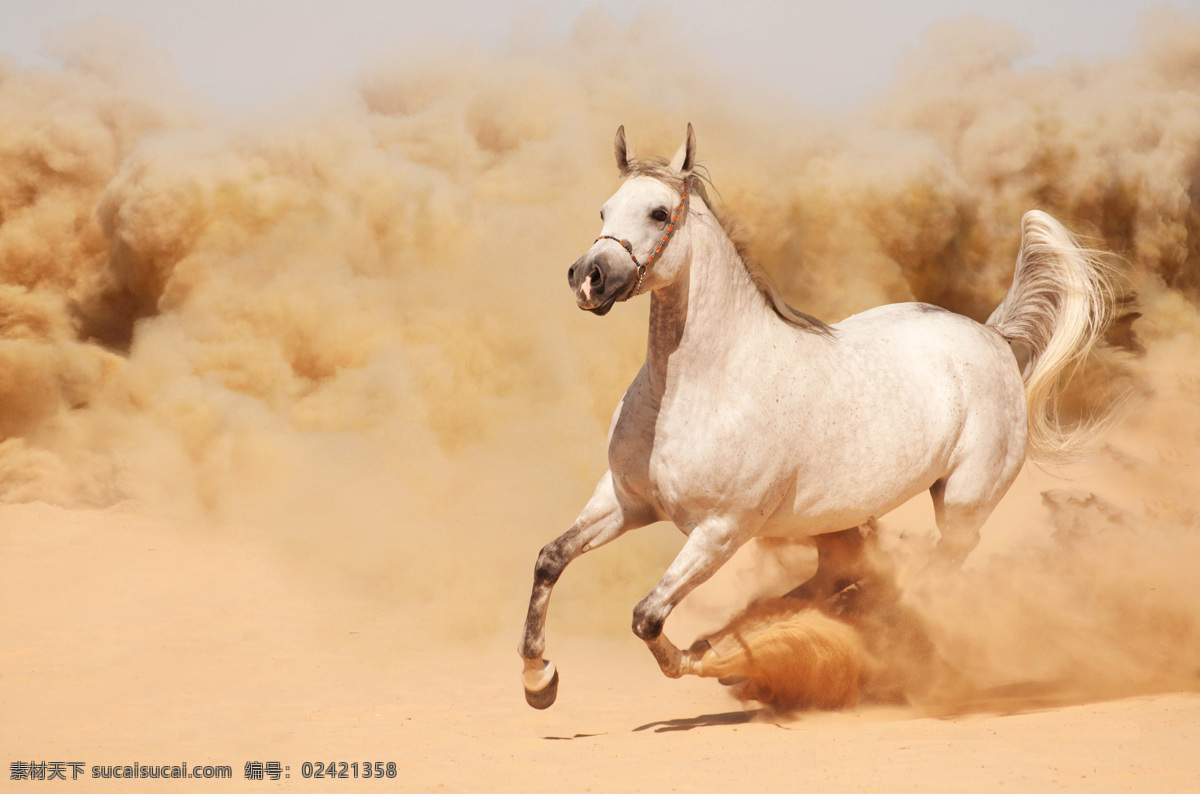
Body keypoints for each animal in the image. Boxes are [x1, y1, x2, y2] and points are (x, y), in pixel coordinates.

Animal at [518, 124, 1113, 710]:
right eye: (604, 210)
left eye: (659, 213)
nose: (588, 278)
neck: (699, 388)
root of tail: (991, 336)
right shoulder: (625, 500)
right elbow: (550, 558)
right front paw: (538, 679)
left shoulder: (720, 531)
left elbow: (647, 617)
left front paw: (703, 659)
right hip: (843, 520)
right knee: (846, 577)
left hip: (963, 504)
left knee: (931, 572)